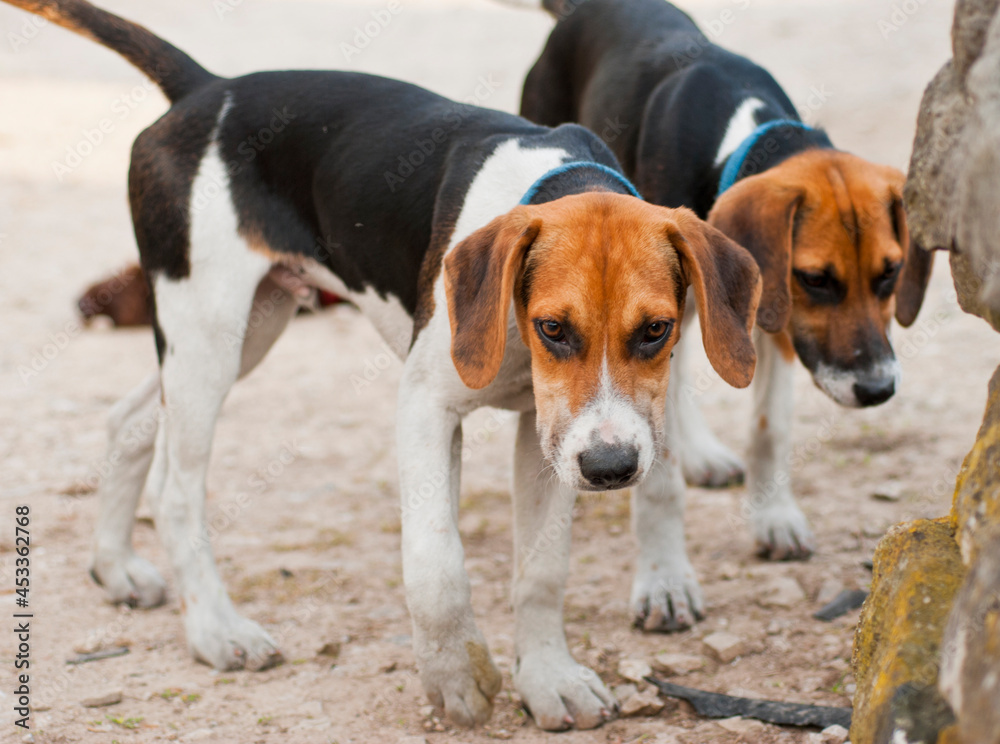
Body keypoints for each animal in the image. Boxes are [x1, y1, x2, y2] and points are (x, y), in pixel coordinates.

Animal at [7, 0, 760, 732]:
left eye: (657, 330)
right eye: (554, 329)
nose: (611, 470)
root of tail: (205, 89)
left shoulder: (545, 434)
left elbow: (542, 571)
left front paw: (549, 680)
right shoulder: (427, 407)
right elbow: (436, 563)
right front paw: (454, 678)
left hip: (249, 328)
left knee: (129, 419)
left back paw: (116, 567)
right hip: (208, 331)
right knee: (175, 489)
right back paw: (217, 631)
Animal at [512, 0, 932, 632]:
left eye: (890, 273)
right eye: (816, 280)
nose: (877, 389)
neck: (736, 134)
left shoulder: (767, 321)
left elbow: (769, 428)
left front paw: (772, 515)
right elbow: (658, 473)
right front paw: (664, 580)